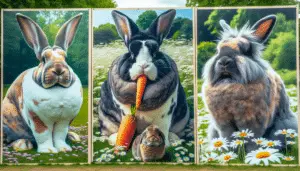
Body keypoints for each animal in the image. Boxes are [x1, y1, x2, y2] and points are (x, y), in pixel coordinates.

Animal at [1, 12, 83, 153]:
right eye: (44, 59)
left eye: (65, 58)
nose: (58, 69)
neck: (56, 88)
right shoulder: (37, 118)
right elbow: (43, 134)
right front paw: (48, 151)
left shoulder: (64, 121)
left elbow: (60, 135)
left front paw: (64, 149)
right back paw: (22, 144)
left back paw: (73, 137)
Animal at [98, 9, 192, 150]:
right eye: (131, 53)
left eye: (156, 52)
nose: (143, 65)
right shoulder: (125, 113)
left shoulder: (165, 114)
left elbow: (162, 128)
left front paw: (164, 146)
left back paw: (175, 141)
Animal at [202, 14, 298, 152]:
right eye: (218, 50)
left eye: (246, 51)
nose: (224, 61)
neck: (230, 86)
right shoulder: (223, 124)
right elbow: (227, 138)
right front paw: (229, 152)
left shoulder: (253, 123)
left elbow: (251, 140)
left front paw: (249, 153)